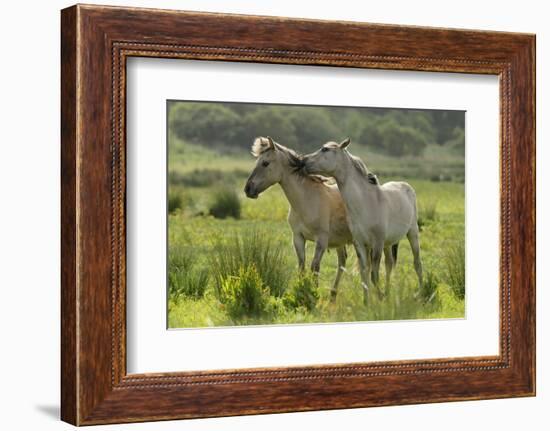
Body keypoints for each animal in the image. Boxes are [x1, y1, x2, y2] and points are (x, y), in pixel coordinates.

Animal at [245, 138, 354, 300]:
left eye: (265, 163)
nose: (247, 189)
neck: (307, 200)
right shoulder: (298, 237)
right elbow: (302, 266)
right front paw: (302, 292)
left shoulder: (321, 240)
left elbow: (315, 267)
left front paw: (313, 294)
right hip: (340, 241)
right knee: (342, 261)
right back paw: (333, 295)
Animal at [304, 138, 424, 304]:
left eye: (325, 149)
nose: (303, 161)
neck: (365, 203)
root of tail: (406, 186)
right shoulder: (360, 243)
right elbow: (364, 273)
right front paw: (368, 302)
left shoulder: (377, 243)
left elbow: (374, 275)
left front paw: (379, 298)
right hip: (388, 243)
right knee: (389, 264)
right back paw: (389, 294)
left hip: (412, 233)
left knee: (417, 263)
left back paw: (421, 293)